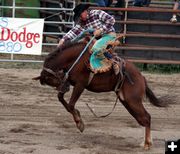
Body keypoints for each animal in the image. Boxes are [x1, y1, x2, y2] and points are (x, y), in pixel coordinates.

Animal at [33, 41, 166, 149]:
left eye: (52, 79)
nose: (64, 88)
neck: (76, 59)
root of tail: (141, 77)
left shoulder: (80, 84)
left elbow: (70, 104)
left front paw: (80, 123)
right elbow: (61, 99)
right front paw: (78, 117)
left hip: (133, 100)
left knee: (146, 117)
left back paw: (147, 144)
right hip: (127, 101)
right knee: (143, 118)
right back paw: (146, 142)